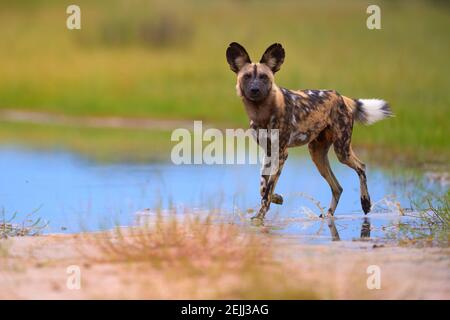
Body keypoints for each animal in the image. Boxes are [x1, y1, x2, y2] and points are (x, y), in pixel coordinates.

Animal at [227, 42, 392, 220]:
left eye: (264, 77)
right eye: (247, 76)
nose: (255, 89)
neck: (261, 112)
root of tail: (341, 97)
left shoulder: (281, 154)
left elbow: (267, 190)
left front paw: (260, 216)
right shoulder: (269, 152)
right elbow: (263, 188)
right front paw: (276, 199)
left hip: (342, 151)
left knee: (361, 167)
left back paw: (365, 203)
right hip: (317, 155)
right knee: (338, 187)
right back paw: (328, 215)